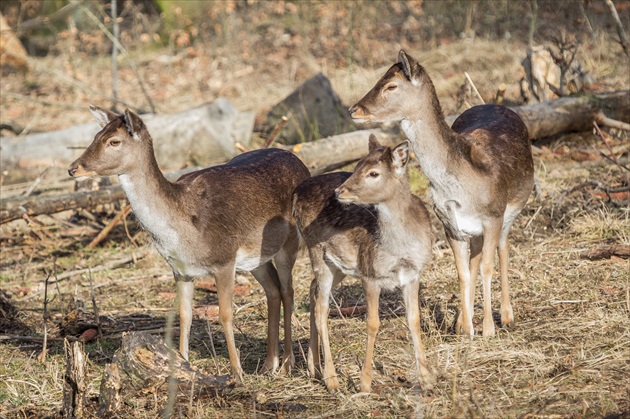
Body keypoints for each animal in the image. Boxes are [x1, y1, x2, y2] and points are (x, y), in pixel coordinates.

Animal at [68, 106, 312, 382]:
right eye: (96, 135)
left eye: (114, 141)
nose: (73, 168)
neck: (182, 233)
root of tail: (301, 163)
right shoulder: (180, 270)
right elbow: (184, 315)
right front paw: (182, 366)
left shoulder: (224, 260)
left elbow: (225, 313)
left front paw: (237, 373)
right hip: (256, 258)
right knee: (273, 290)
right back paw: (269, 365)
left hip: (290, 242)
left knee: (289, 292)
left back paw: (288, 364)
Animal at [292, 134, 434, 394]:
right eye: (357, 165)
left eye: (373, 173)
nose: (339, 191)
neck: (400, 248)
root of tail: (295, 193)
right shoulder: (370, 273)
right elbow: (373, 323)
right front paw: (365, 383)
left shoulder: (413, 274)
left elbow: (414, 320)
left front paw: (427, 379)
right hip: (316, 249)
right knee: (321, 308)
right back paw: (331, 379)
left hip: (338, 264)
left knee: (312, 290)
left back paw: (312, 367)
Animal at [348, 50, 536, 338]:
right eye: (379, 78)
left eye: (391, 86)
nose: (354, 110)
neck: (462, 188)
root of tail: (499, 105)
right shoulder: (450, 224)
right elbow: (462, 272)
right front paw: (466, 329)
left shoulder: (493, 215)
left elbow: (488, 267)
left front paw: (488, 330)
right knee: (475, 257)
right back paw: (460, 321)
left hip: (513, 209)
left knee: (503, 249)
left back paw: (506, 316)